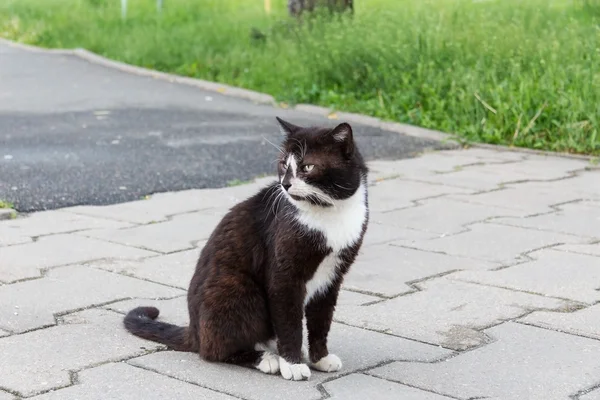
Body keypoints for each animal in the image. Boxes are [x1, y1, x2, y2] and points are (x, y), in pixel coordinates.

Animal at [124, 116, 368, 382]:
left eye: (307, 167)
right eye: (284, 164)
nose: (285, 184)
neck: (328, 213)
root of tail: (194, 331)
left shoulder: (332, 277)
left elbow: (321, 320)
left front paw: (320, 359)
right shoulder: (283, 276)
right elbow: (289, 323)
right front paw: (292, 364)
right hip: (238, 291)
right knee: (213, 350)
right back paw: (266, 359)